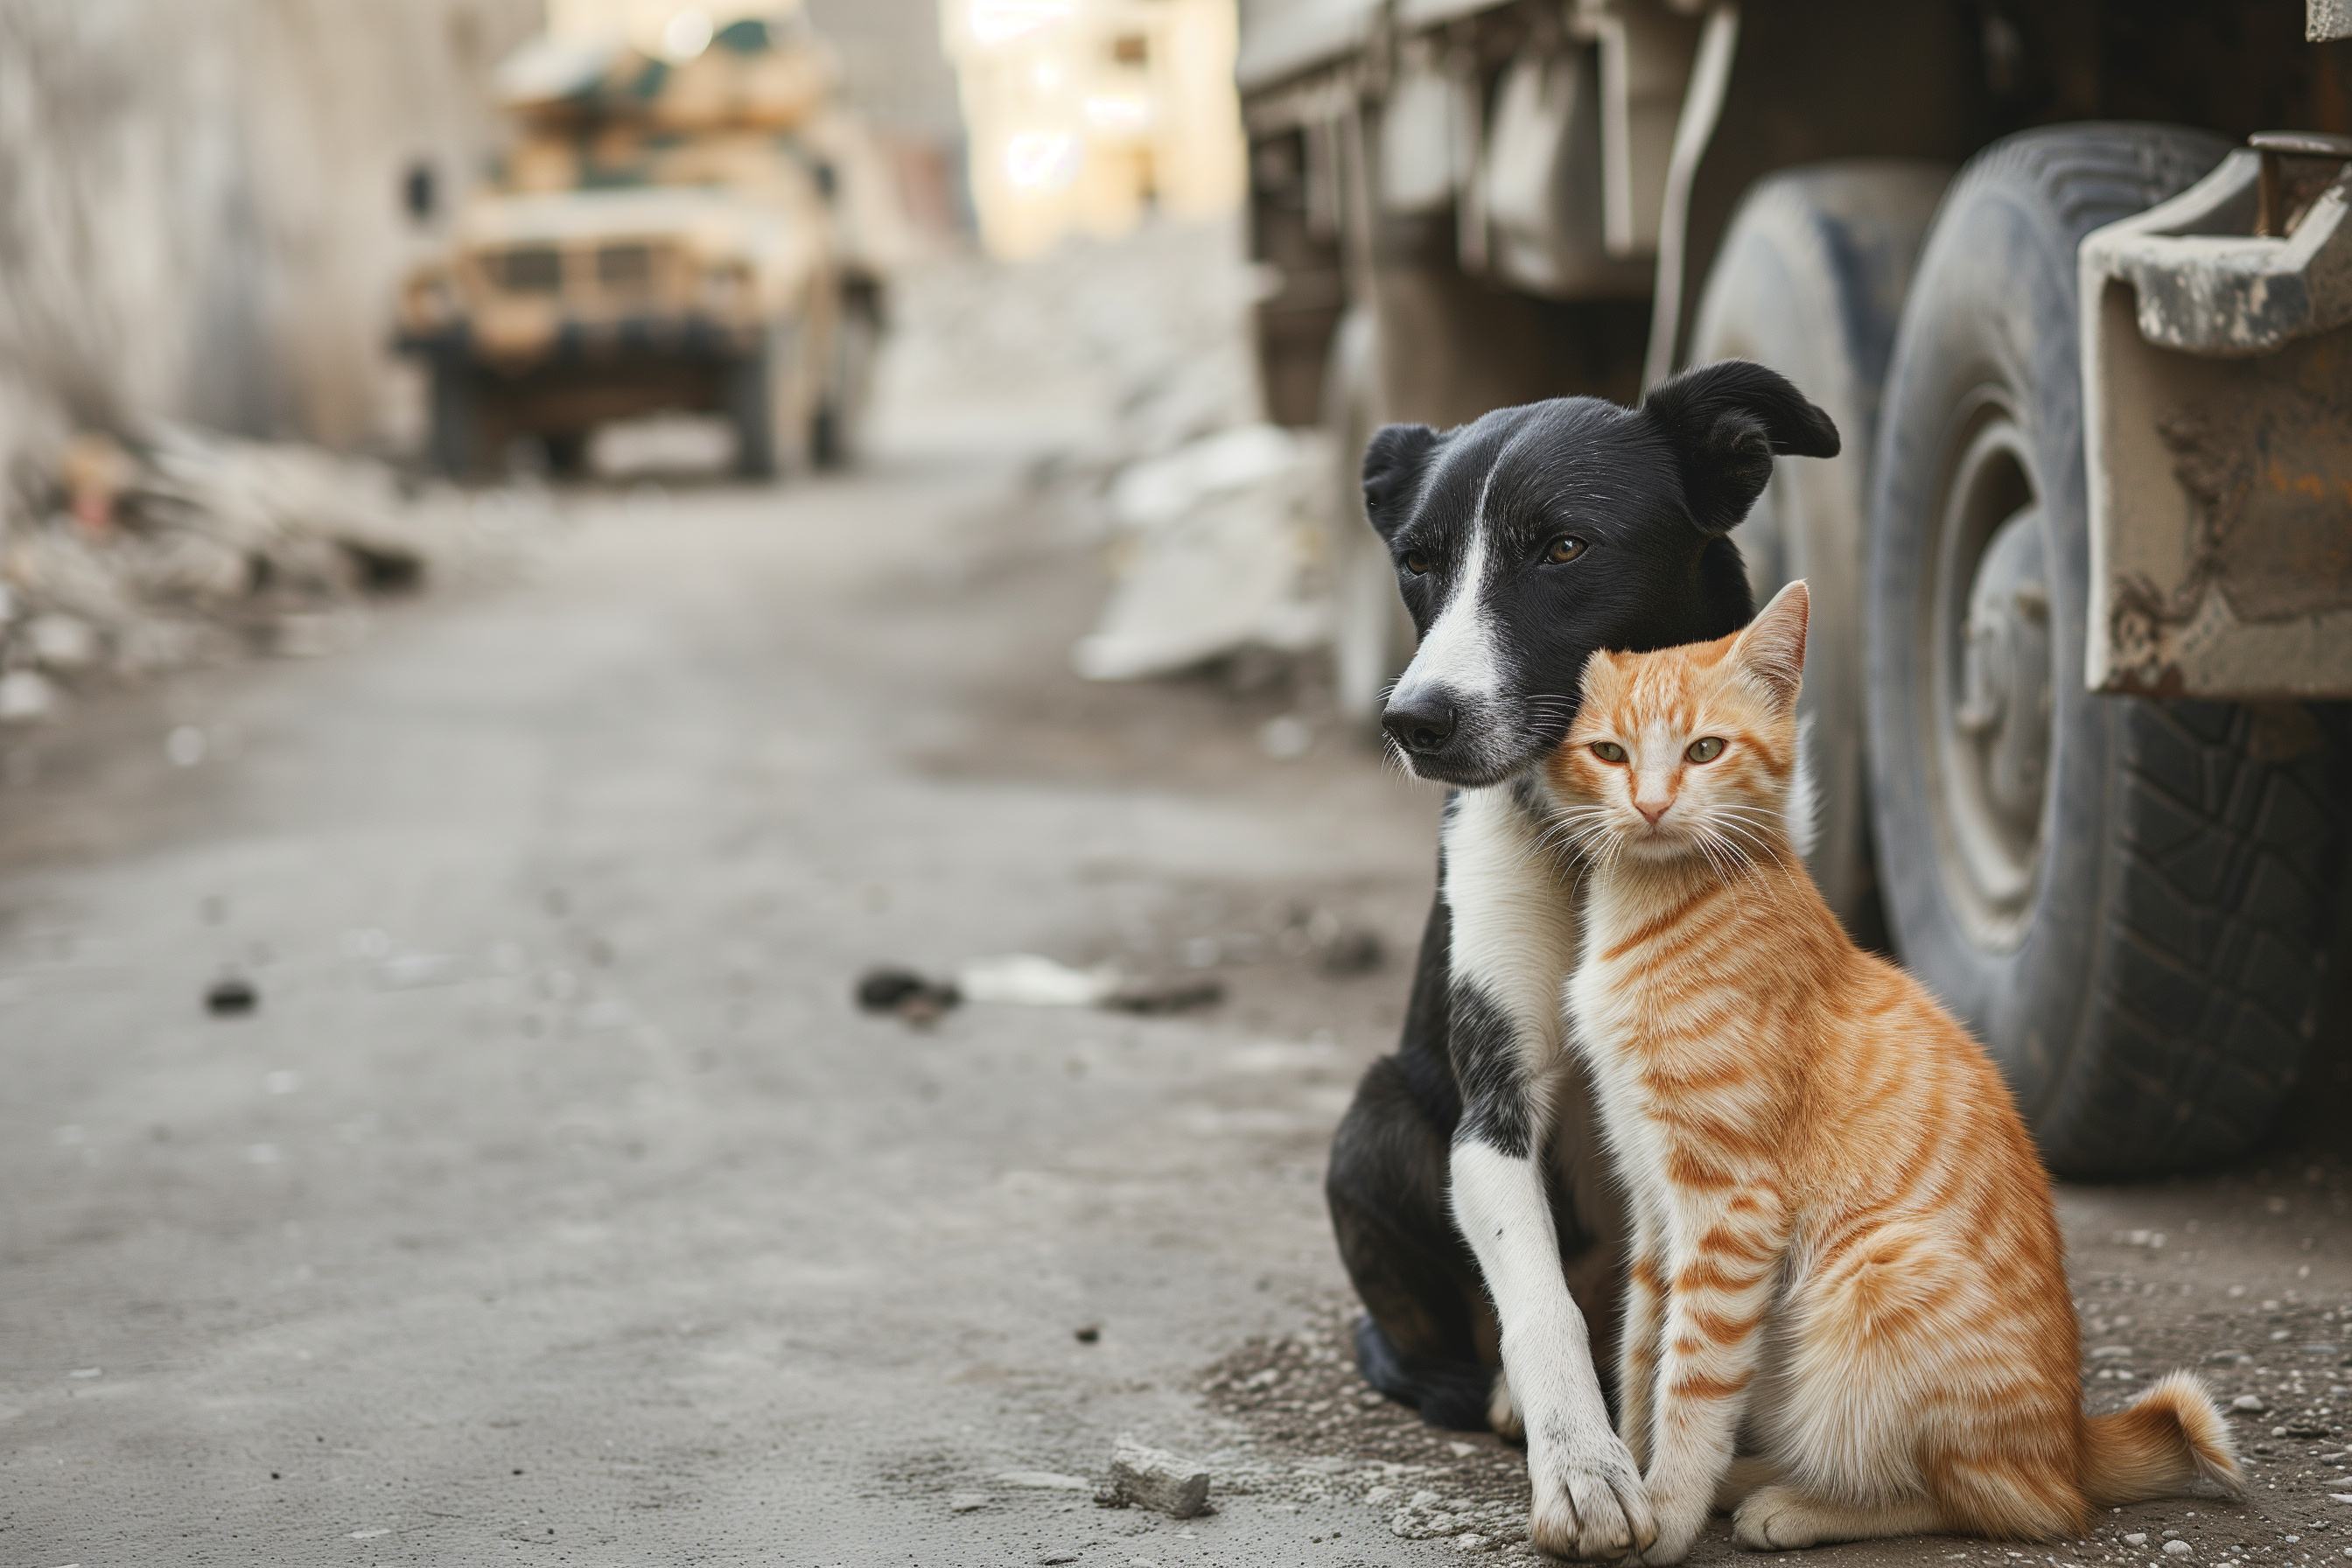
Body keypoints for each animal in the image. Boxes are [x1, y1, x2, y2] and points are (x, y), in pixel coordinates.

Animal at [1326, 364, 1834, 1560]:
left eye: (1562, 547)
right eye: (1415, 560)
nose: (1412, 720)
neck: (1601, 849)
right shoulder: (1491, 1114)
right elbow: (1540, 1295)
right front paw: (1584, 1468)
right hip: (1371, 1118)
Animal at [1543, 583, 2238, 1560]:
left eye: (1705, 750)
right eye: (1609, 752)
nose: (1647, 805)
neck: (1660, 905)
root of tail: (2072, 1439)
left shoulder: (1727, 1204)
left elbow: (1693, 1380)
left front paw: (1670, 1510)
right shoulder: (1654, 1204)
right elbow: (1643, 1354)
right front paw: (1634, 1477)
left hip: (1873, 1275)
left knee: (1991, 1500)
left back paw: (1790, 1500)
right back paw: (1761, 1477)